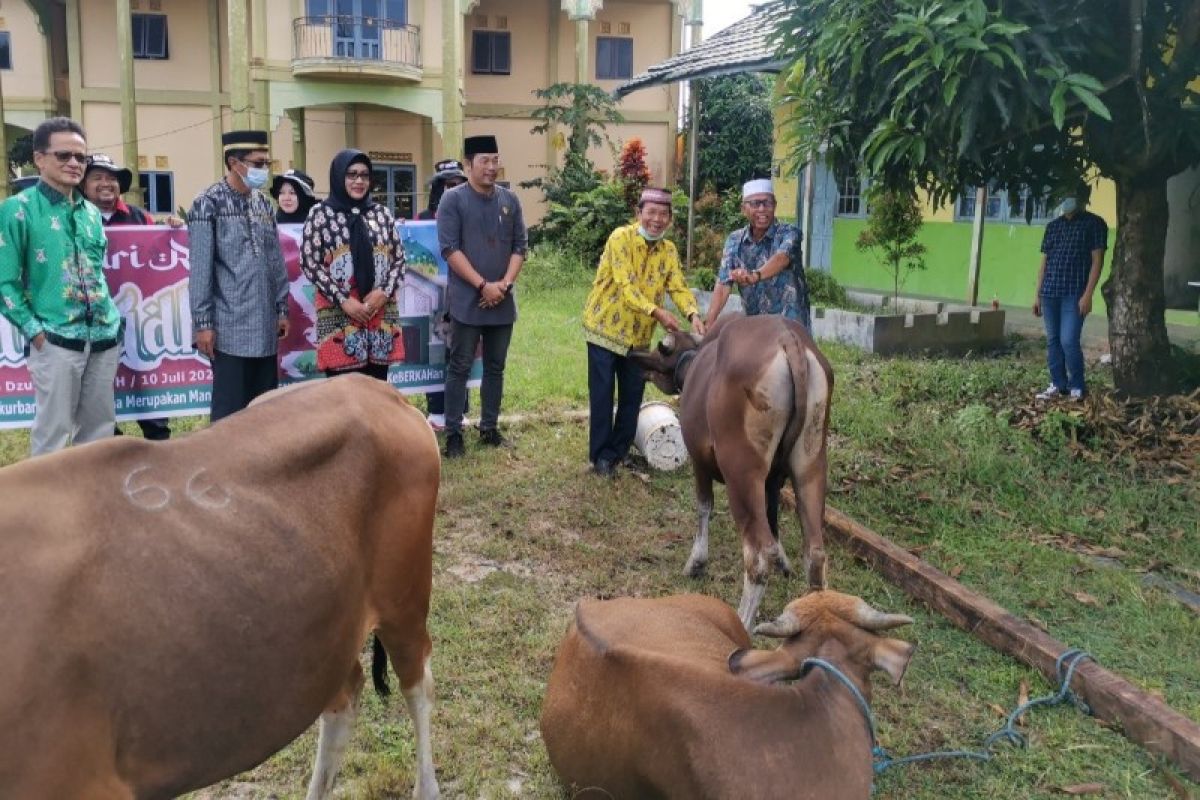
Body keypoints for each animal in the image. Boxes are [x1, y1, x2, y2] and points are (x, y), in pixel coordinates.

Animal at [628, 314, 835, 633]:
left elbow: (704, 507)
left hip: (741, 472)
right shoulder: (773, 481)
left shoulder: (699, 461)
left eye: (661, 352)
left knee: (759, 555)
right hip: (810, 464)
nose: (638, 364)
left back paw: (743, 622)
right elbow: (772, 519)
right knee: (814, 553)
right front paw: (784, 563)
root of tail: (788, 339)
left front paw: (696, 563)